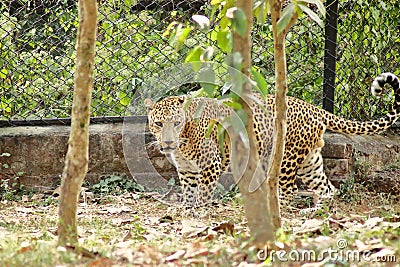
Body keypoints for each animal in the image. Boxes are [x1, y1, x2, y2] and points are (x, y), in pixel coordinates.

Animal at [145, 73, 400, 209]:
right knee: (327, 188)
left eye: (176, 123)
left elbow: (204, 191)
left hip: (287, 158)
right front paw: (186, 207)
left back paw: (279, 209)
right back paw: (315, 211)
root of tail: (314, 108)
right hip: (310, 162)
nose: (168, 143)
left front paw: (200, 208)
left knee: (290, 189)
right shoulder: (186, 169)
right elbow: (189, 190)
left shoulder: (210, 164)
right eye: (158, 123)